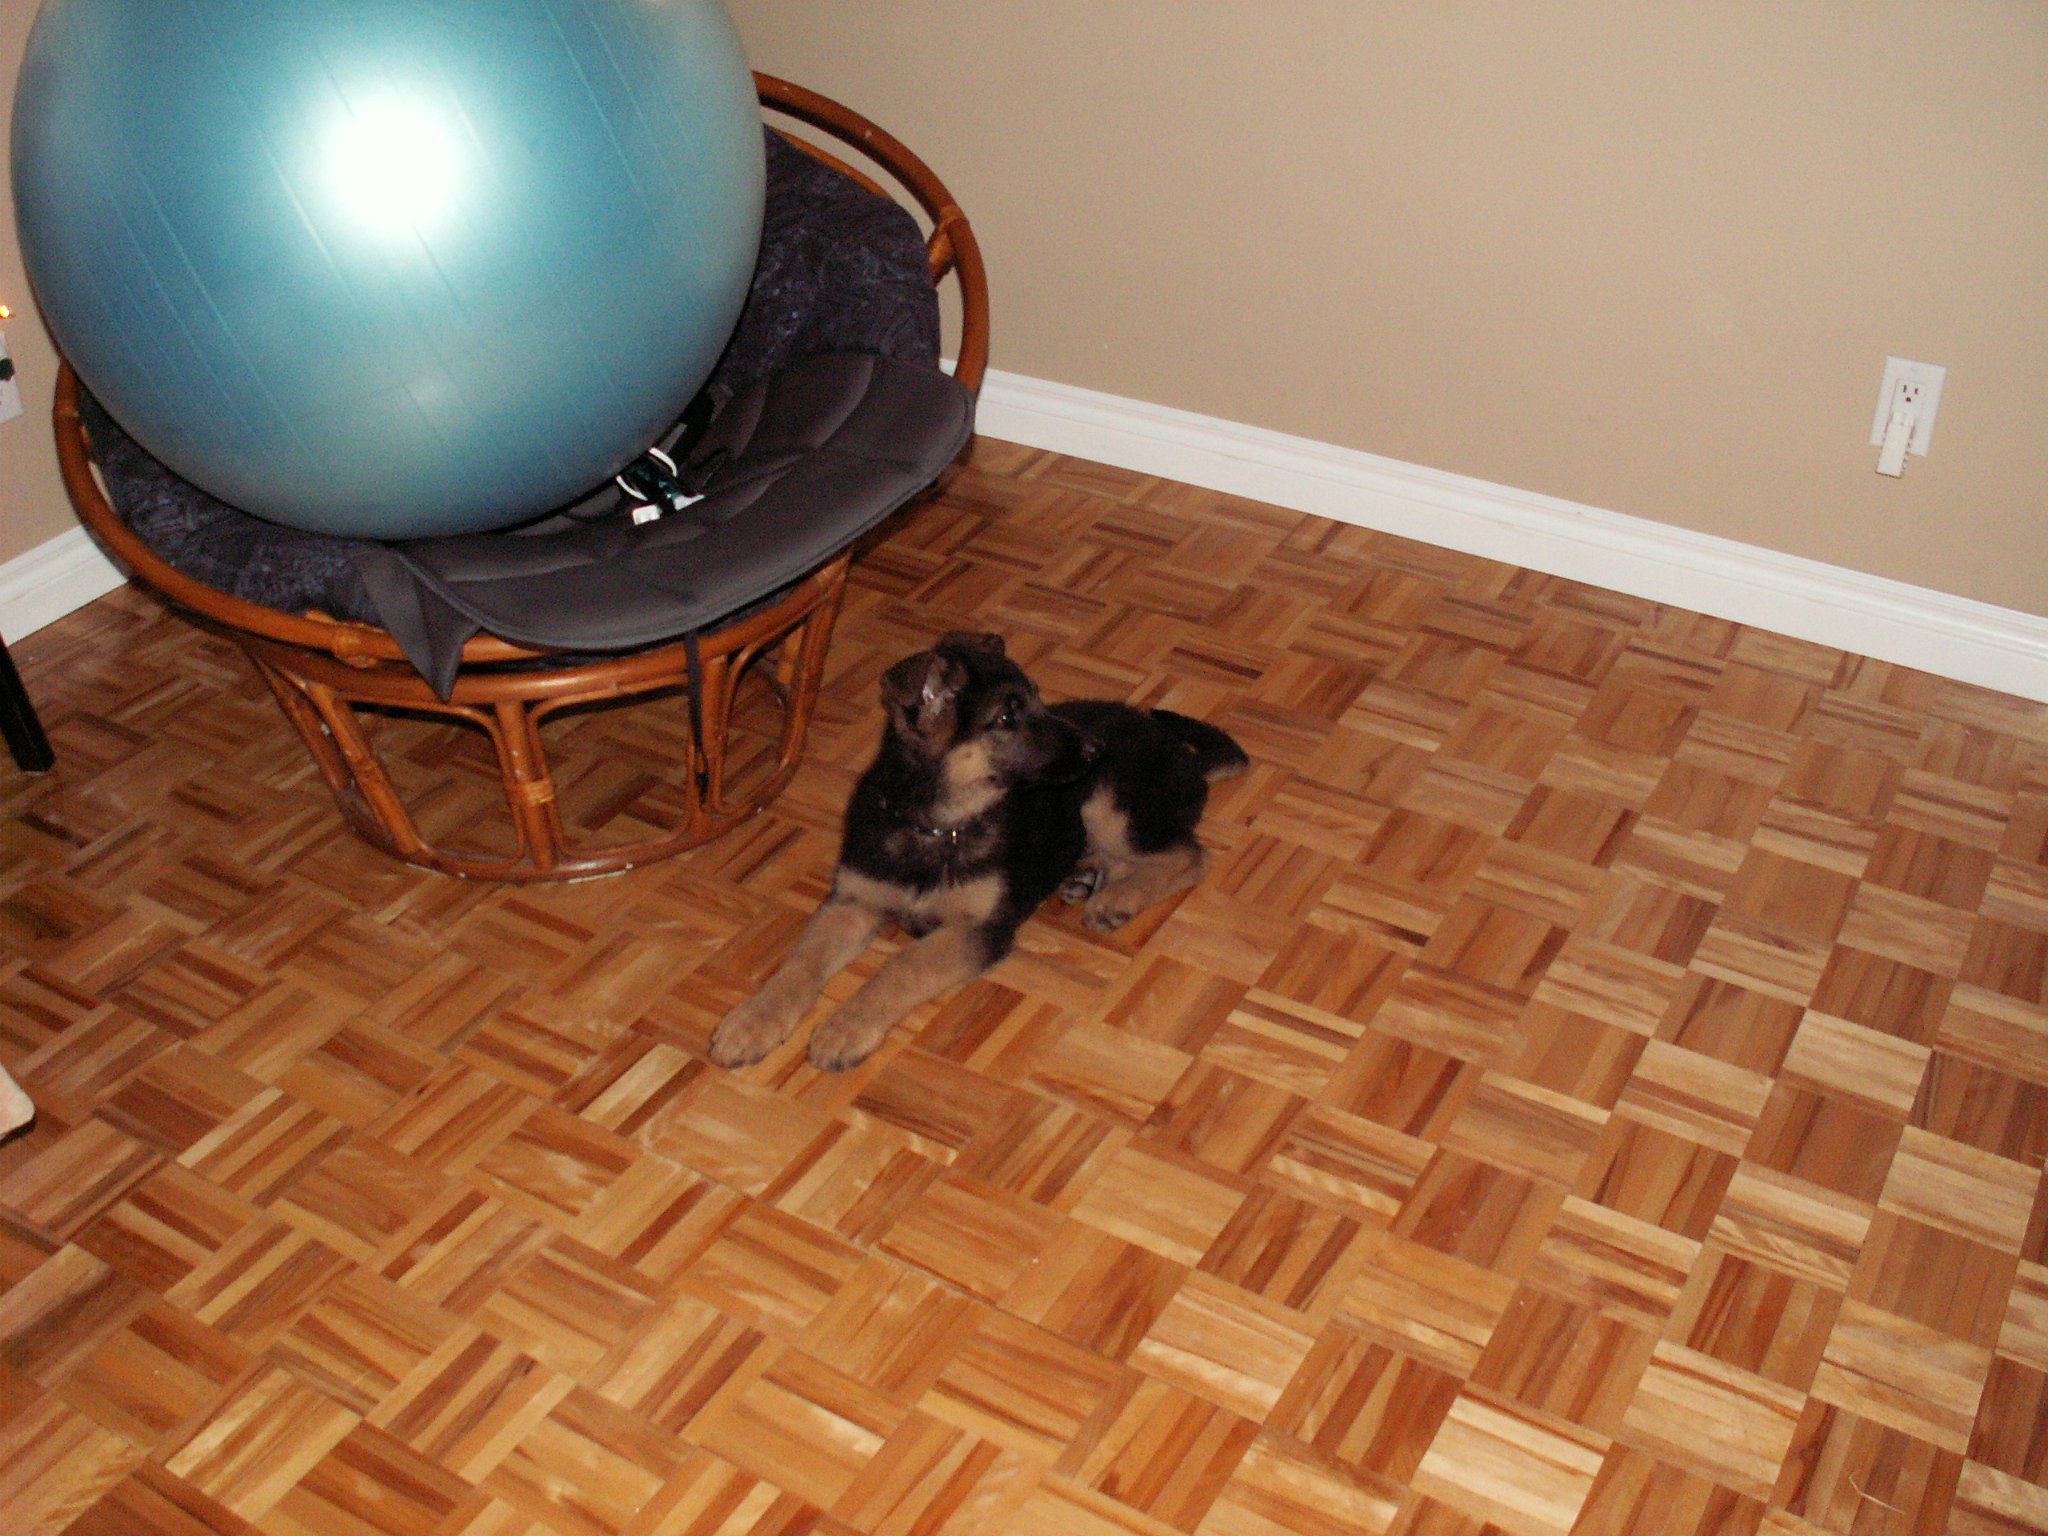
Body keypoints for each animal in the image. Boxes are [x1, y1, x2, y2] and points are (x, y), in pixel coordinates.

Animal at [709, 630, 1248, 1071]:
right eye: (1008, 717)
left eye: (1039, 700)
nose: (1094, 749)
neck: (937, 825)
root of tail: (1181, 753)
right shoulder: (852, 901)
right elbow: (798, 964)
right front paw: (752, 1021)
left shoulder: (979, 929)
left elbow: (903, 967)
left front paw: (846, 1027)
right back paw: (1087, 875)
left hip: (1107, 802)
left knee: (1188, 856)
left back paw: (1118, 898)